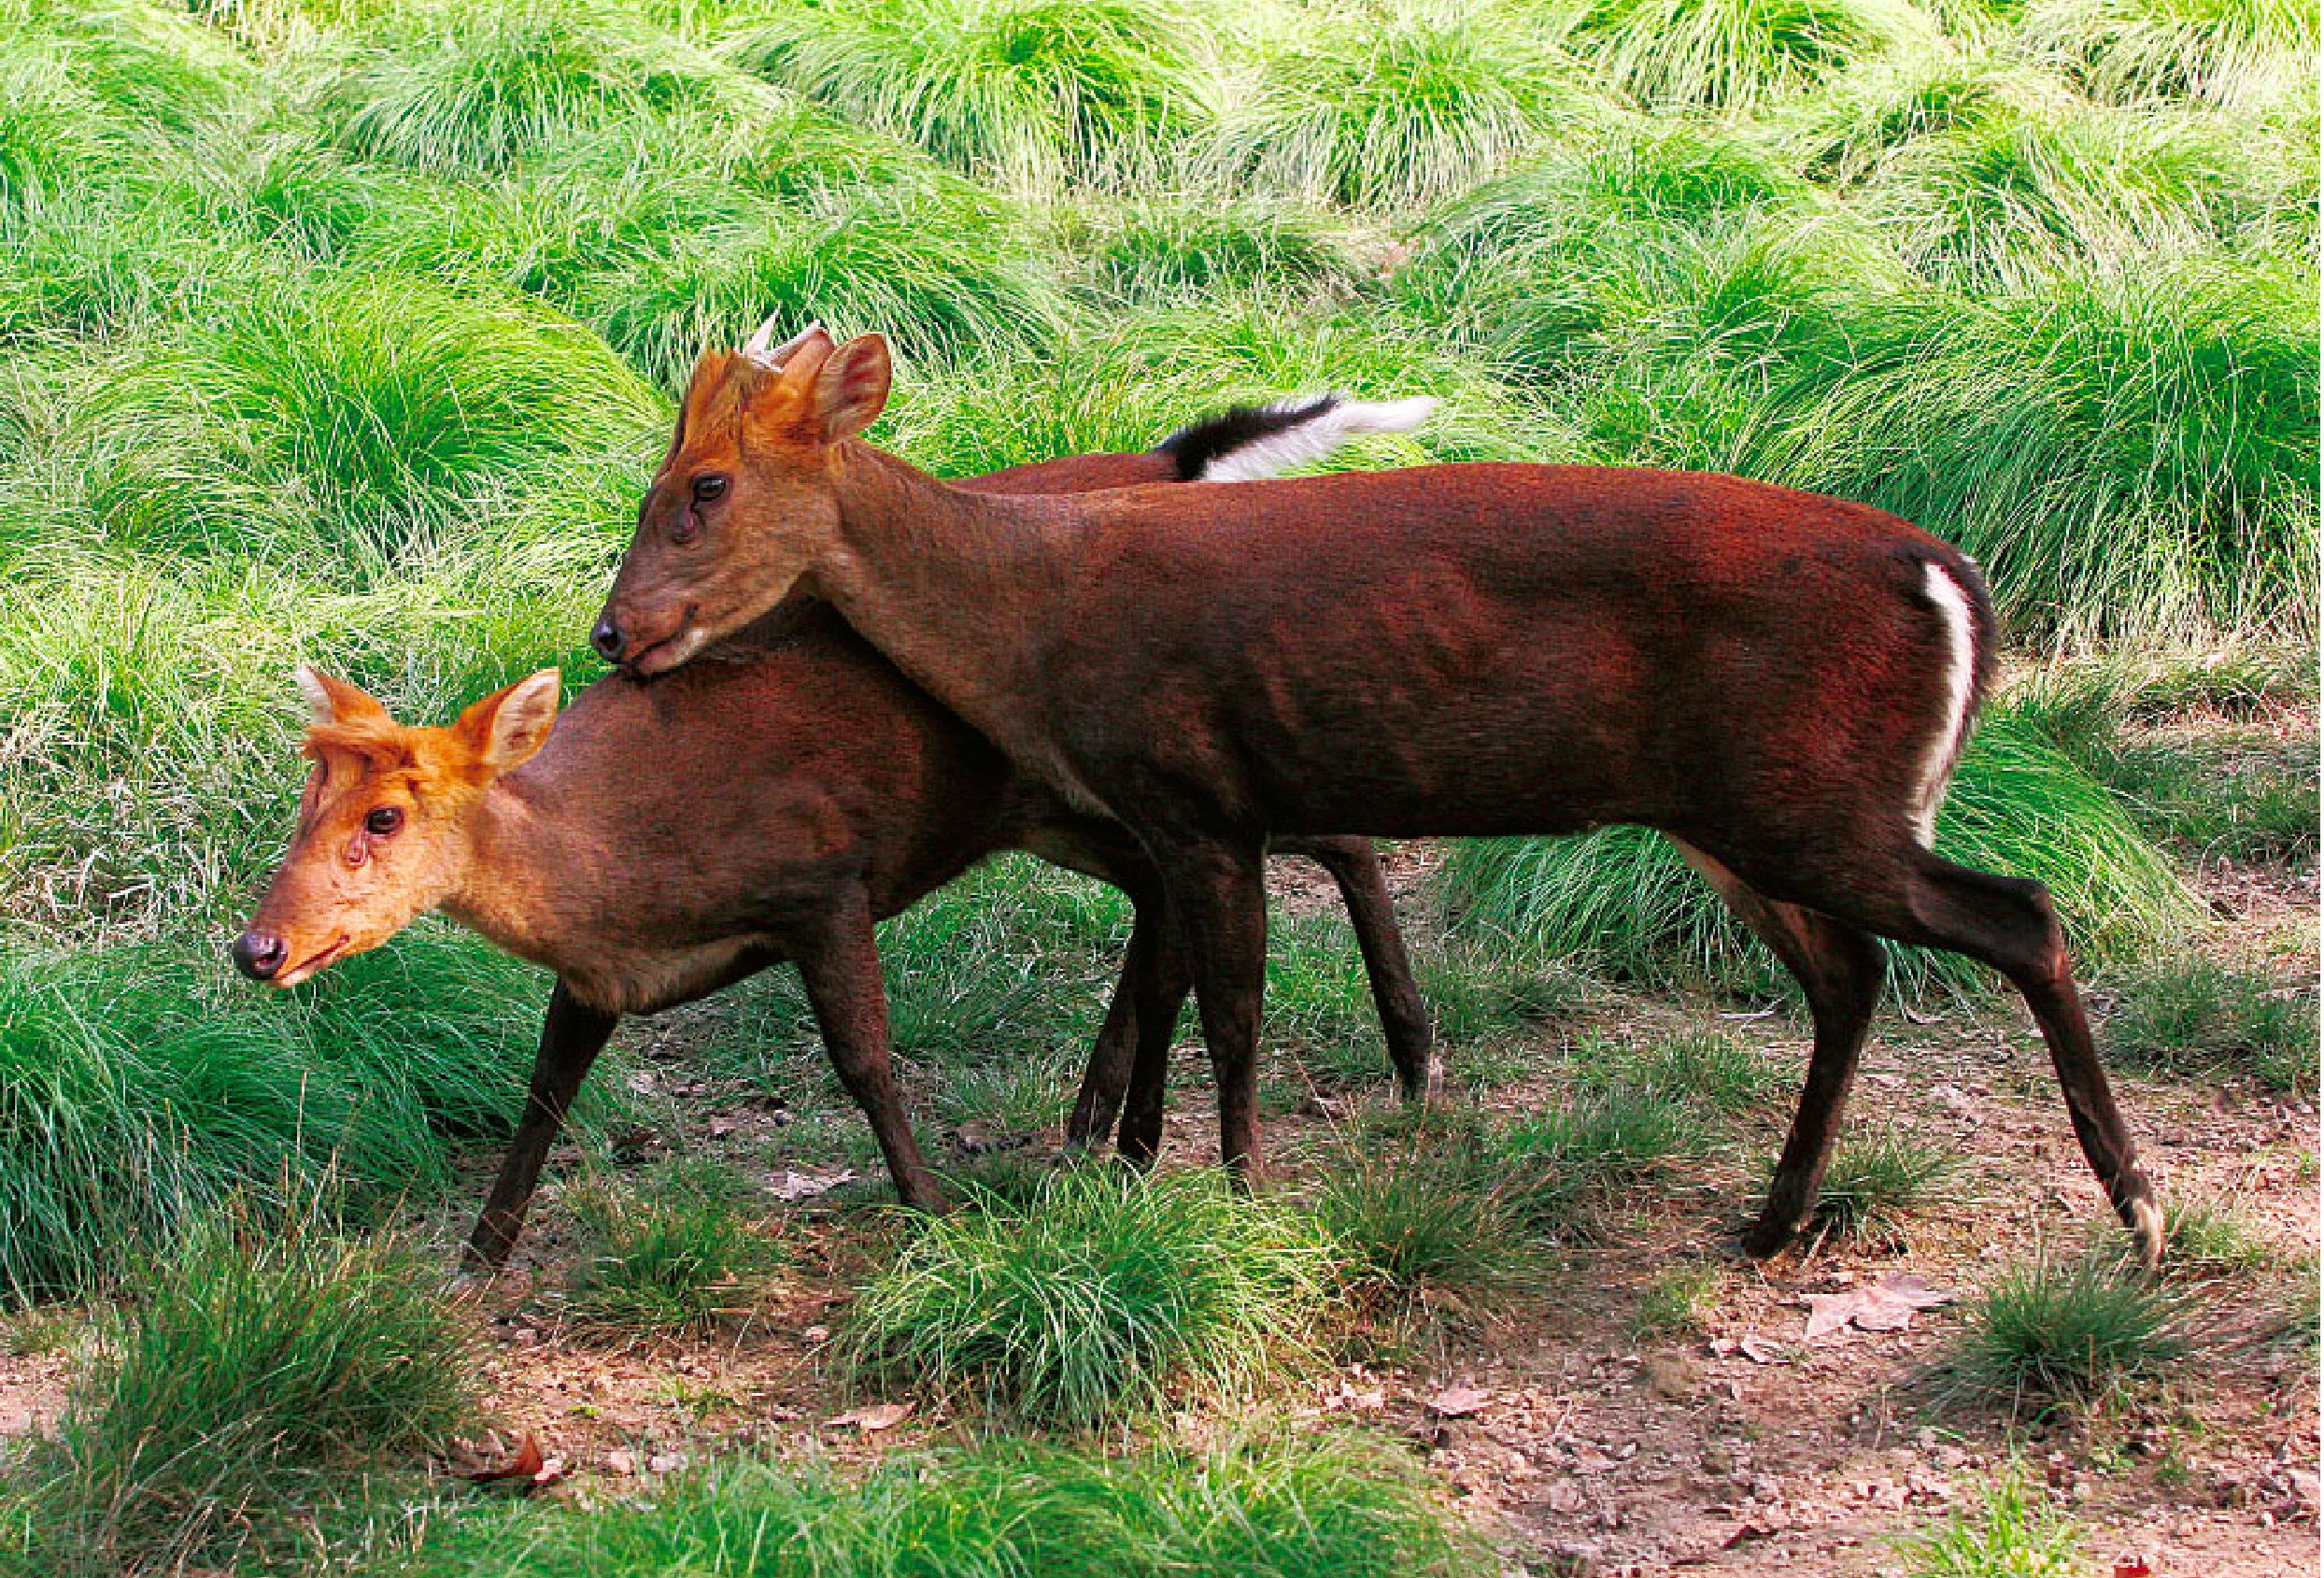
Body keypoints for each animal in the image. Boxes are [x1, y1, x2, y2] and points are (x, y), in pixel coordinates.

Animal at [589, 327, 2165, 1264]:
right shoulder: (1182, 812)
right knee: (1854, 973)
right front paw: (1151, 1167)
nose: (612, 635)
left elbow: (1232, 1006)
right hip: (1747, 815)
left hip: (1813, 799)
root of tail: (1953, 583)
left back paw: (2141, 1211)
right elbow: (1192, 987)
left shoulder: (1195, 787)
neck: (1040, 610)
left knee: (2022, 917)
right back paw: (1772, 1223)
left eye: (705, 487)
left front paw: (1233, 1196)